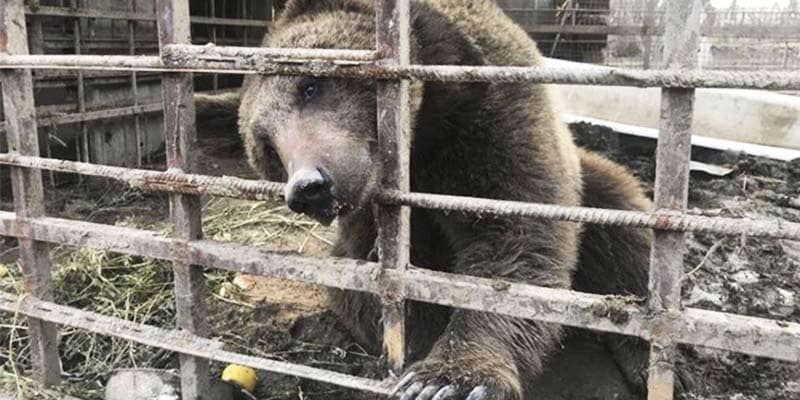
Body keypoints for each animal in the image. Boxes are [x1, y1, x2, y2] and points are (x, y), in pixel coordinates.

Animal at [194, 0, 693, 398]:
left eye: (310, 86)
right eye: (266, 146)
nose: (310, 186)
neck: (424, 134)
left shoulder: (490, 122)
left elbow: (516, 241)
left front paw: (450, 379)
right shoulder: (372, 227)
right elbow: (386, 292)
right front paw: (420, 362)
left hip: (593, 184)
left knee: (623, 229)